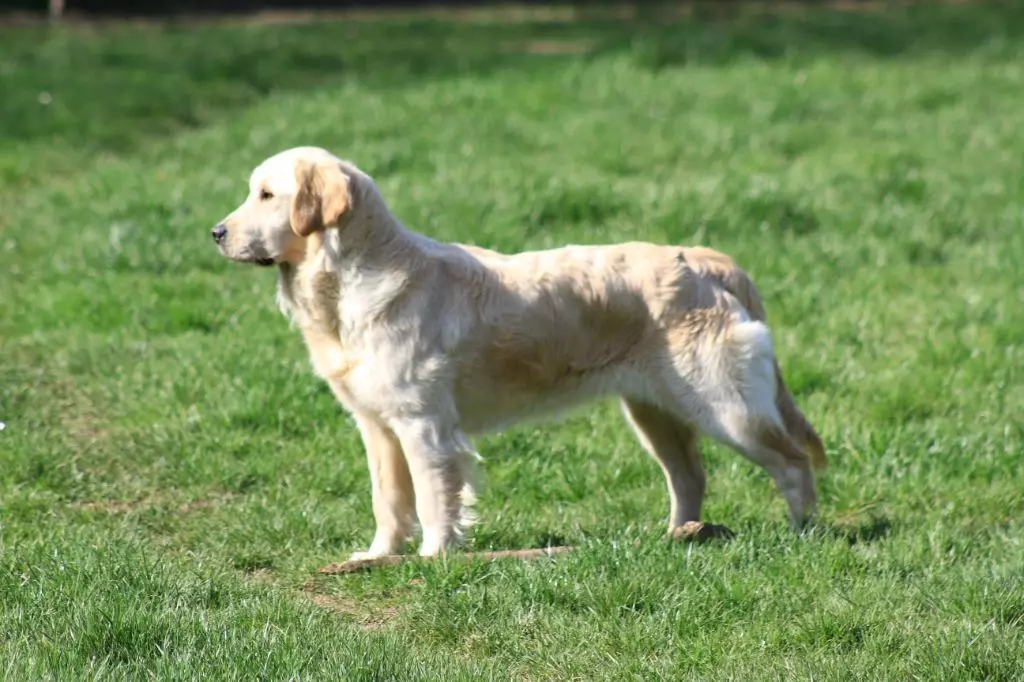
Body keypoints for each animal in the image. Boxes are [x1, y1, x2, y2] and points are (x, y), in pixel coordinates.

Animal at [211, 147, 827, 557]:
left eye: (267, 195)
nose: (216, 232)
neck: (350, 282)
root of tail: (706, 259)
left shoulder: (423, 423)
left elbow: (433, 498)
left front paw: (433, 559)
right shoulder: (377, 426)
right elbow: (388, 499)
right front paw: (378, 557)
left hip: (726, 407)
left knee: (792, 461)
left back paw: (803, 533)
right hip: (655, 411)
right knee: (690, 477)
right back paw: (678, 536)